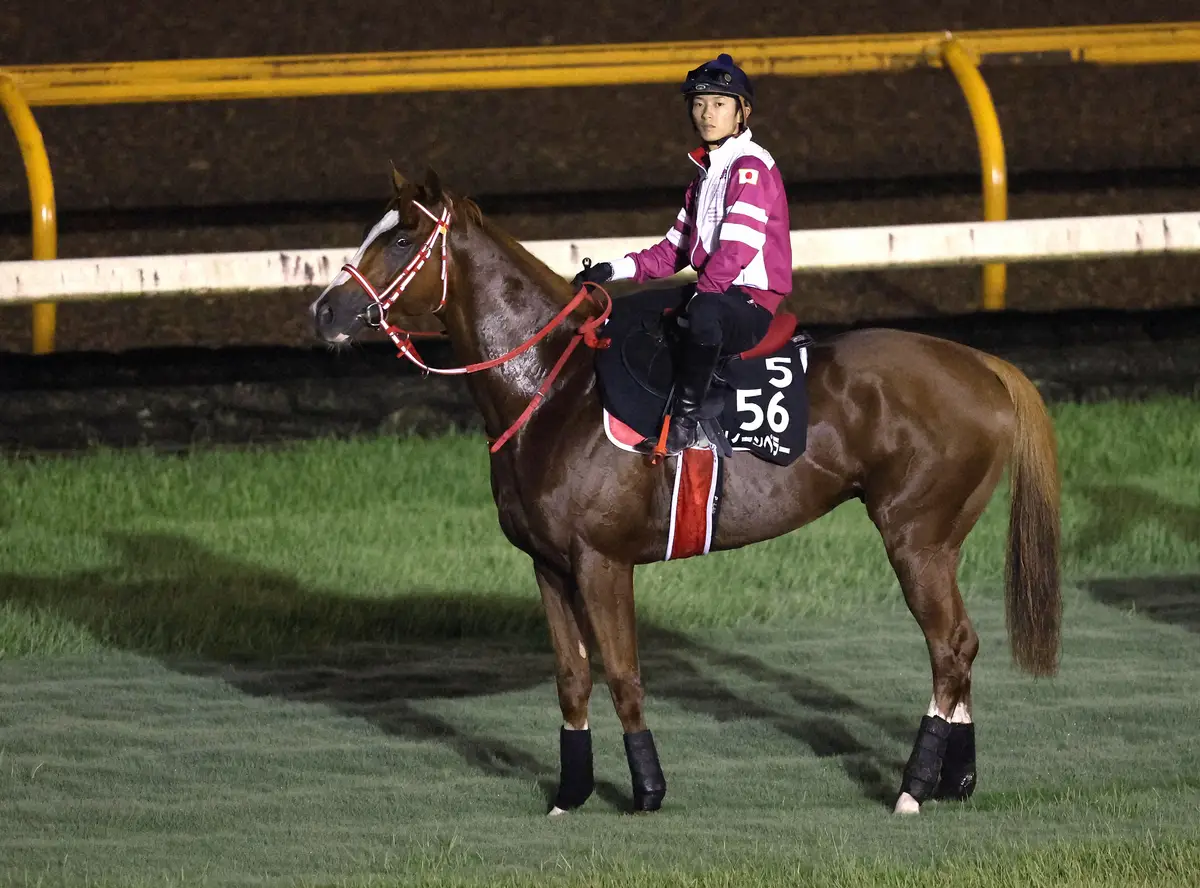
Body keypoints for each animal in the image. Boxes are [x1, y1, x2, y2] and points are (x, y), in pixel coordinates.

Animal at [312, 170, 1060, 816]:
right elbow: (573, 679)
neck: (553, 390)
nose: (324, 309)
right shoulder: (548, 566)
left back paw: (913, 787)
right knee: (960, 651)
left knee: (950, 646)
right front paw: (570, 794)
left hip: (914, 539)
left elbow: (622, 673)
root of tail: (981, 363)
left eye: (403, 239)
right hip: (939, 542)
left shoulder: (601, 562)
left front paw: (646, 790)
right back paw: (957, 780)